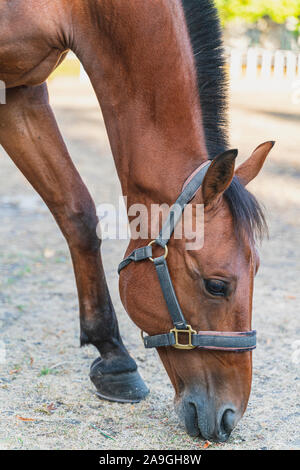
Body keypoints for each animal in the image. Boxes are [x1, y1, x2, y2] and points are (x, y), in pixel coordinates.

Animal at [0, 0, 276, 440]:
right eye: (217, 286)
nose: (230, 417)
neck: (75, 11)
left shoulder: (21, 91)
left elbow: (76, 211)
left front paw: (114, 358)